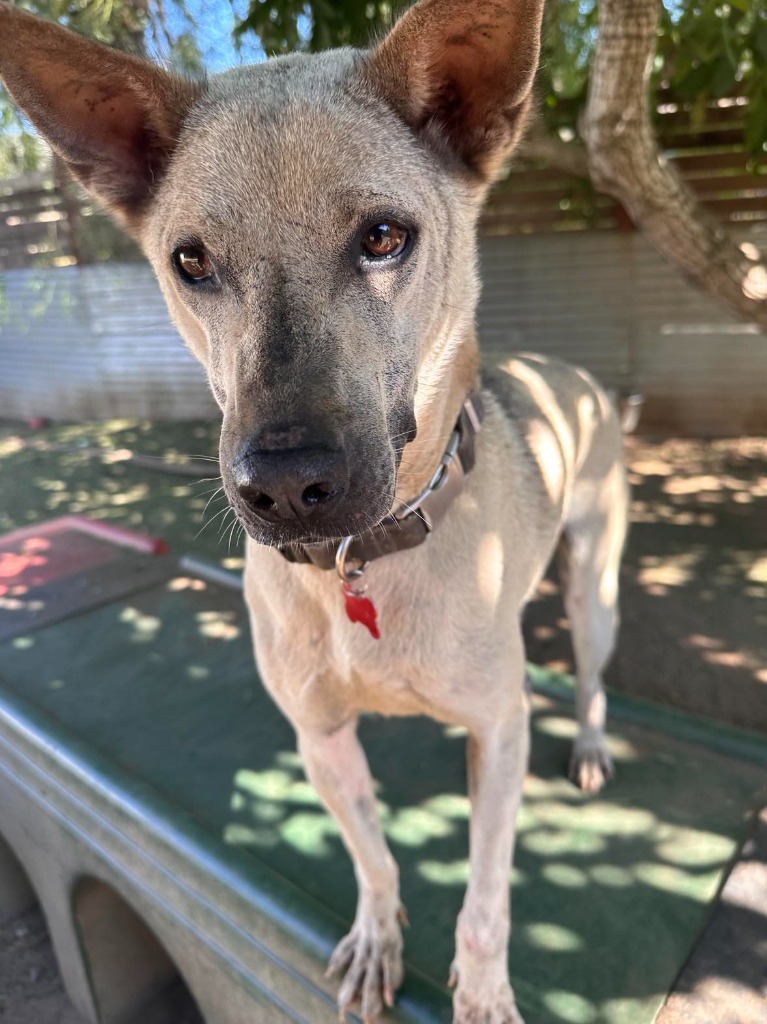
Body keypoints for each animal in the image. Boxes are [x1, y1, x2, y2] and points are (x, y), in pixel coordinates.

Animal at [0, 4, 626, 1019]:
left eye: (383, 236)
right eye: (190, 260)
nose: (287, 488)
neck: (361, 564)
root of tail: (575, 377)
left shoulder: (499, 732)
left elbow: (486, 896)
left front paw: (484, 989)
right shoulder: (320, 738)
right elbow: (370, 854)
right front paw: (376, 936)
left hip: (595, 589)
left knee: (595, 667)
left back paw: (597, 743)